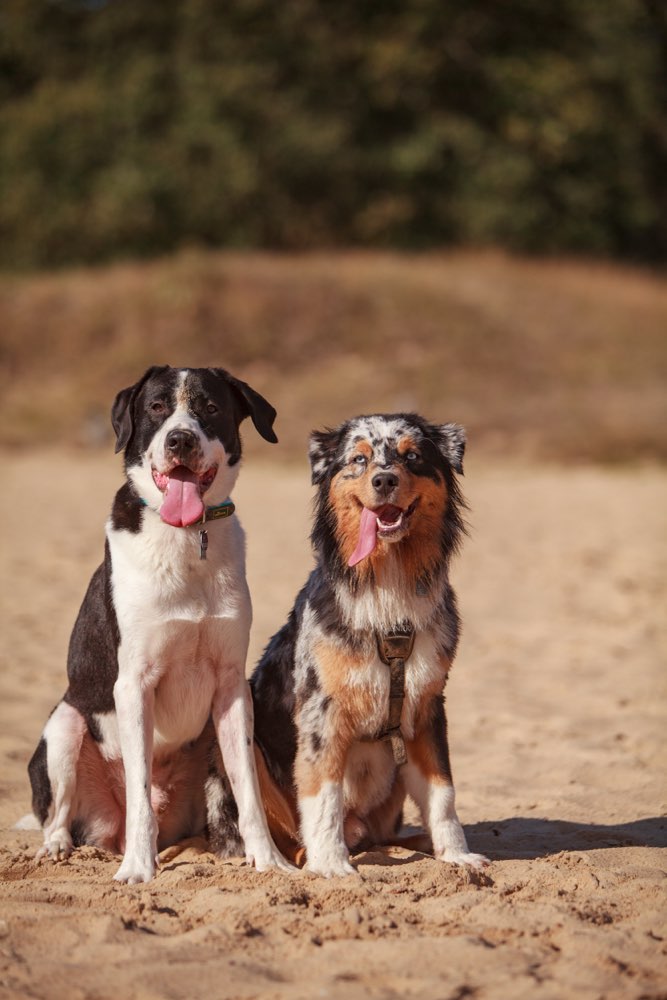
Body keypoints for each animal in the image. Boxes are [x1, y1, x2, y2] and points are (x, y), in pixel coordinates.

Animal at [26, 366, 292, 884]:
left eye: (210, 407)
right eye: (155, 408)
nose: (180, 440)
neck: (188, 537)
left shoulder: (232, 685)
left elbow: (249, 791)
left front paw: (269, 860)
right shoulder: (133, 684)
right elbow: (139, 793)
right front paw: (137, 868)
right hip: (65, 724)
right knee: (61, 812)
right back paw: (61, 847)